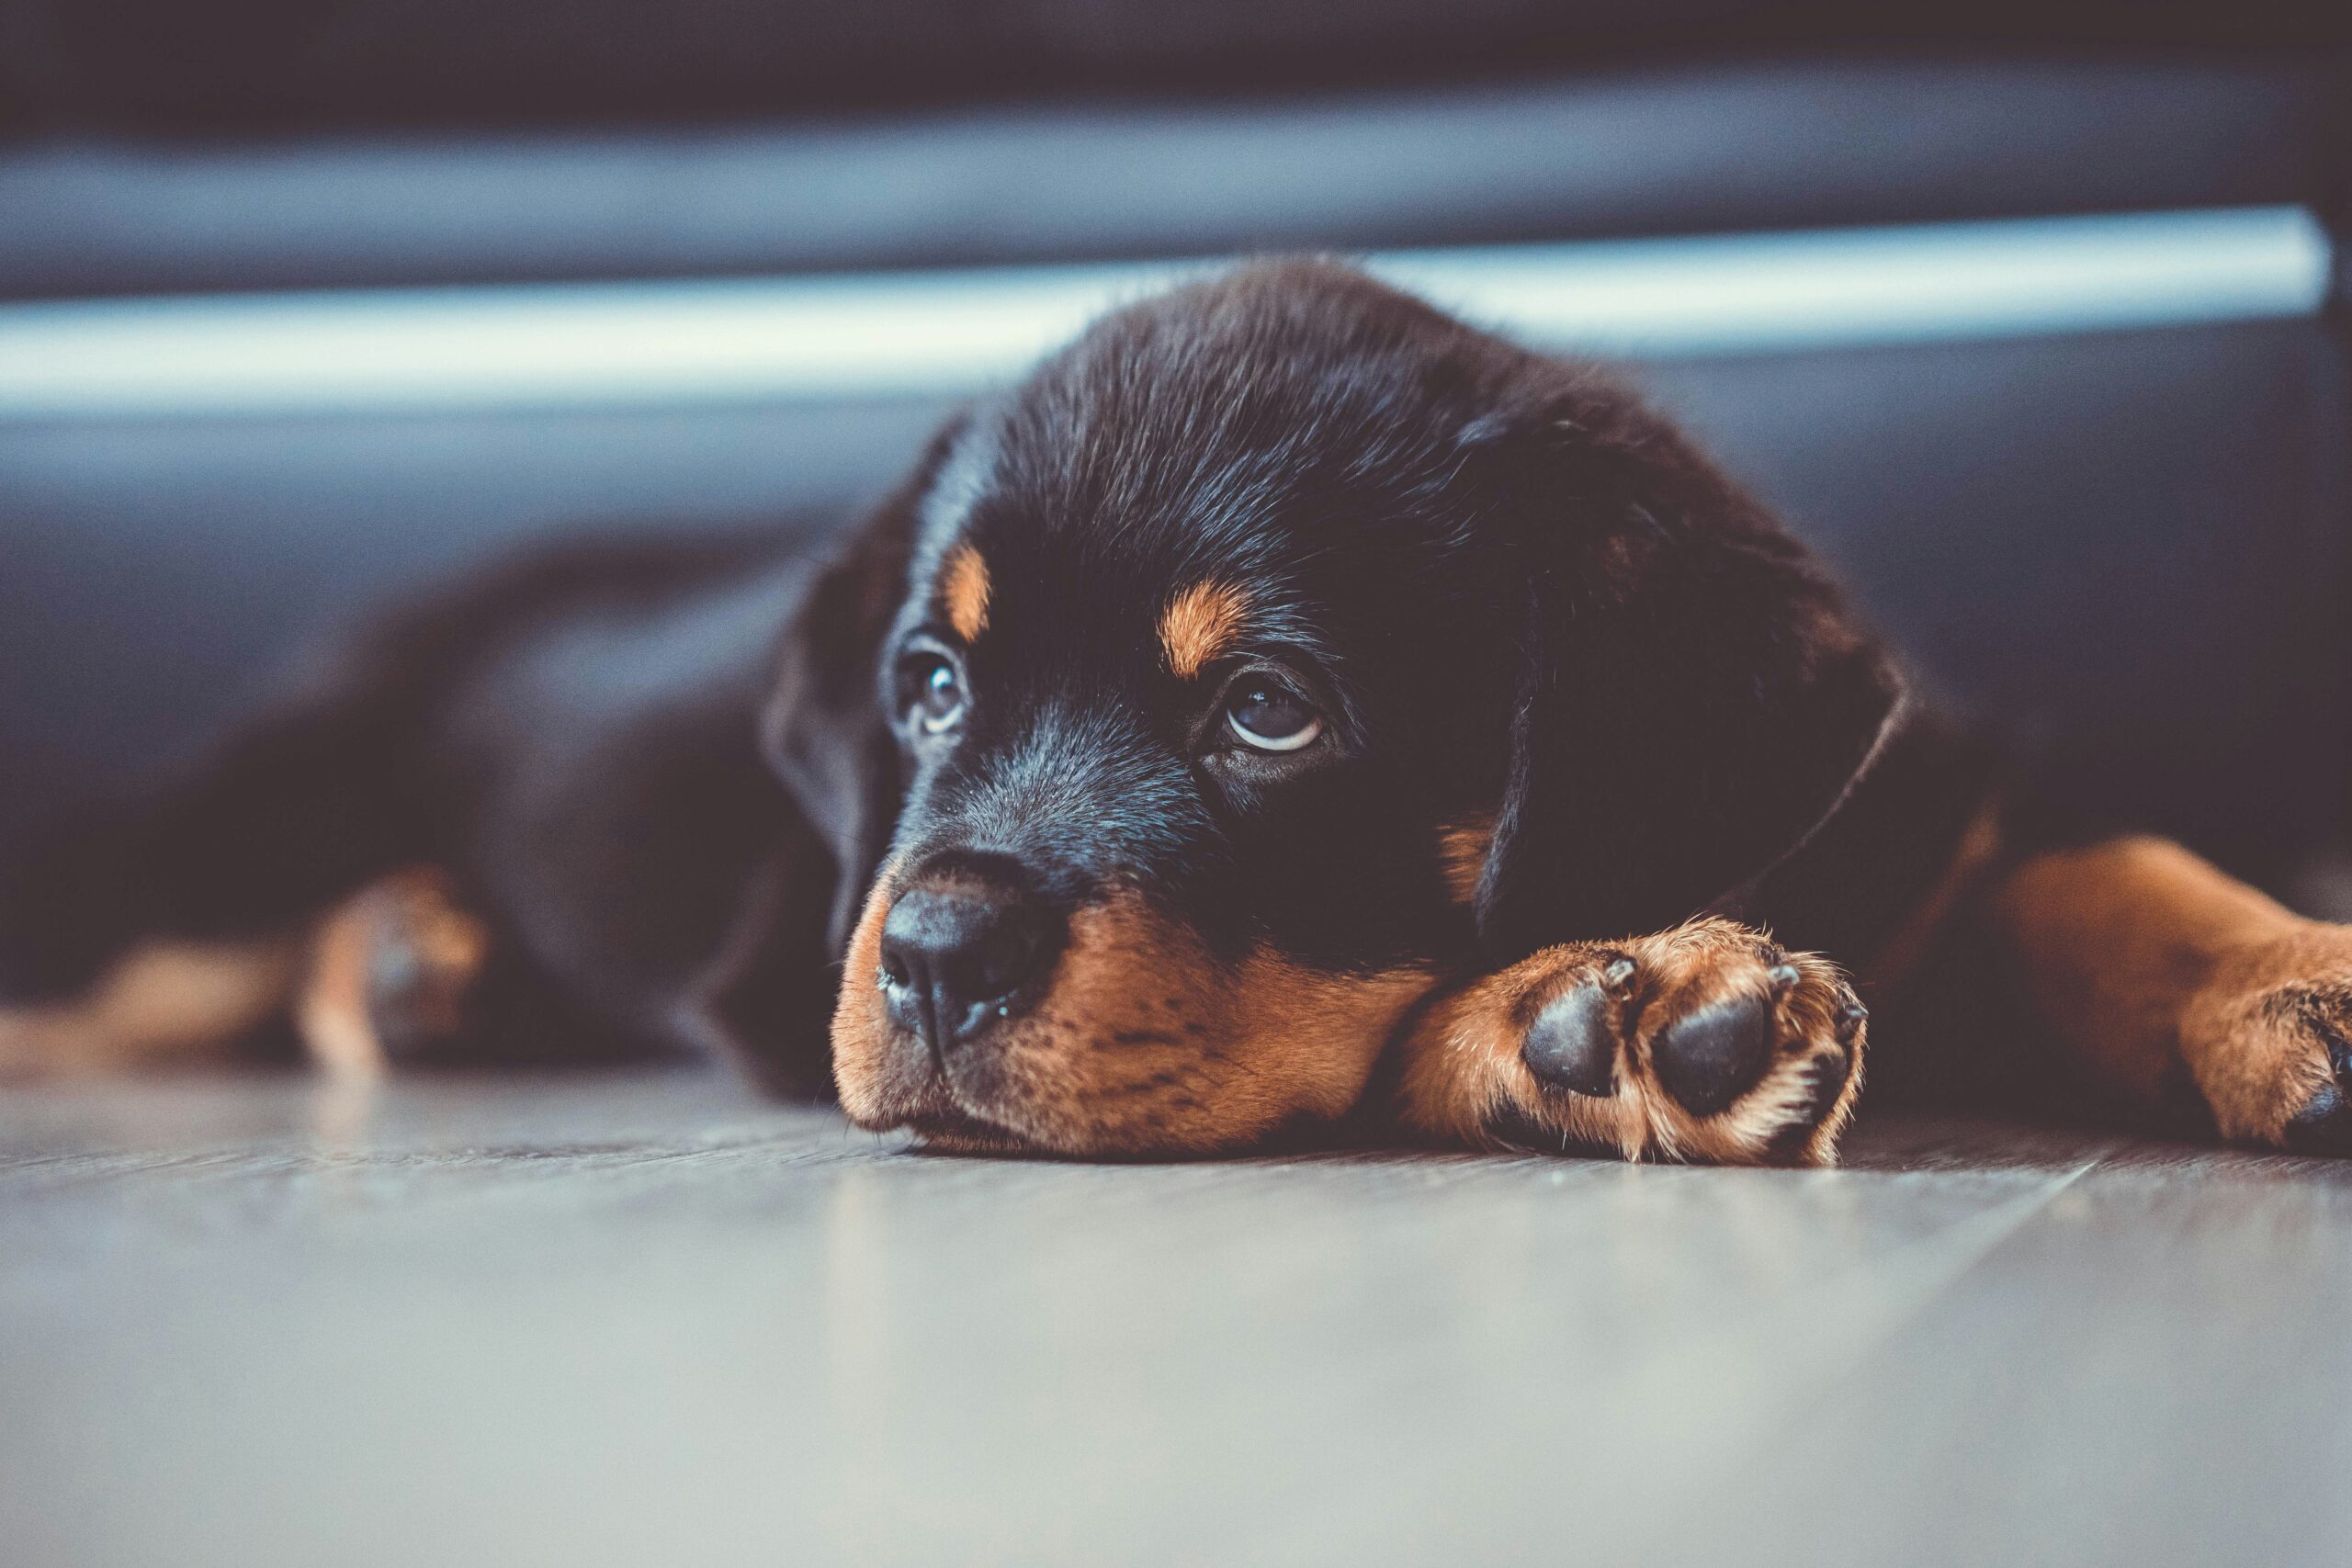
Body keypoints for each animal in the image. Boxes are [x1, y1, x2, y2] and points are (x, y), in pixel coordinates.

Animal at [5, 261, 2352, 1166]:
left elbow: (2102, 865)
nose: (930, 958)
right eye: (930, 684)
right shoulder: (797, 968)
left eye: (1268, 712)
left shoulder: (1926, 798)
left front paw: (2286, 973)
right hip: (199, 867)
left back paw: (429, 966)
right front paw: (1598, 1012)